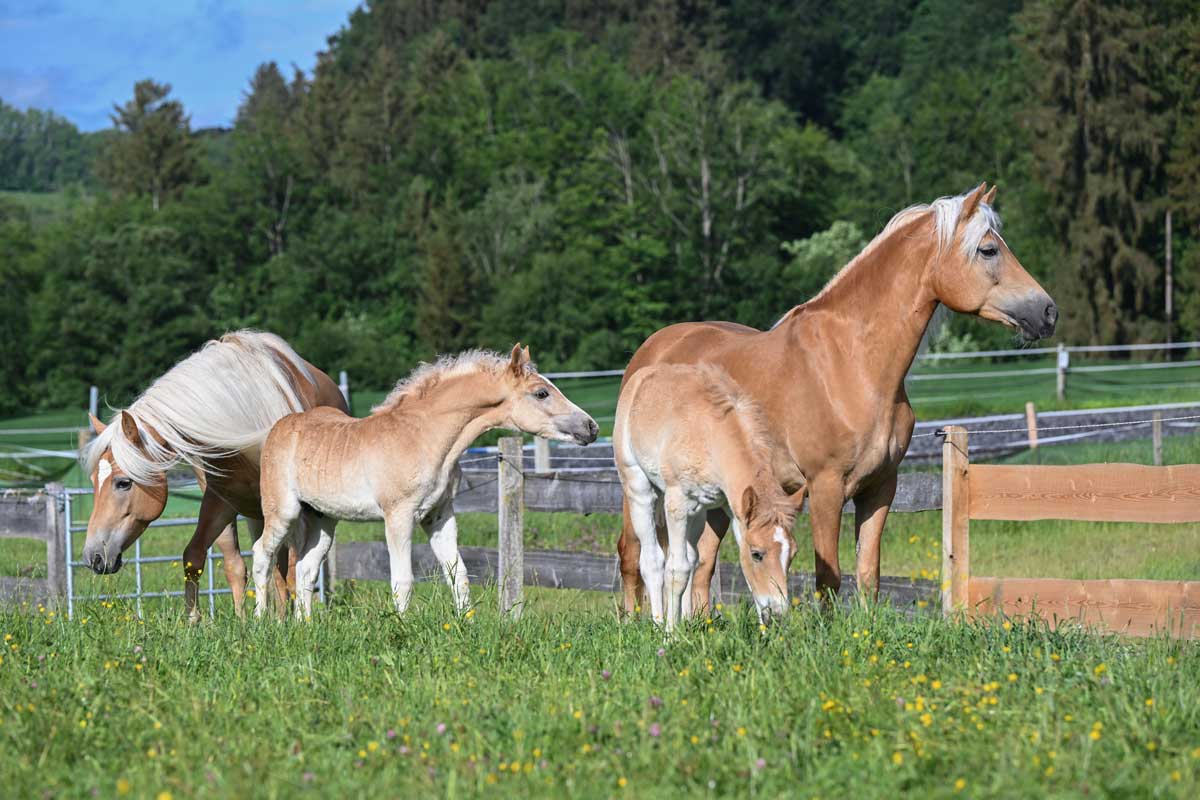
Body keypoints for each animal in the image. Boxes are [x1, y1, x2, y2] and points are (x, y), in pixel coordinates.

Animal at [81, 330, 348, 622]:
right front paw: (202, 621)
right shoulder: (220, 501)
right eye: (93, 482)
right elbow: (203, 559)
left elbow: (290, 568)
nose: (93, 557)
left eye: (123, 482)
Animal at [253, 345, 599, 619]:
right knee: (262, 554)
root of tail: (281, 426)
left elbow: (458, 574)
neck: (423, 438)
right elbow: (403, 579)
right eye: (541, 393)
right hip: (283, 512)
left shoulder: (439, 514)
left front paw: (466, 625)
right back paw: (258, 622)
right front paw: (401, 628)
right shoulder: (399, 515)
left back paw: (305, 627)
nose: (591, 427)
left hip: (323, 519)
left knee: (305, 568)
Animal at [614, 363, 801, 629]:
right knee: (652, 560)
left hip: (697, 512)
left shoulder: (730, 508)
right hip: (639, 488)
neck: (711, 435)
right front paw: (670, 633)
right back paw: (659, 623)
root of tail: (640, 375)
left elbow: (699, 564)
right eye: (757, 554)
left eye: (792, 553)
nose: (777, 616)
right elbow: (676, 570)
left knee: (691, 557)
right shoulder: (677, 502)